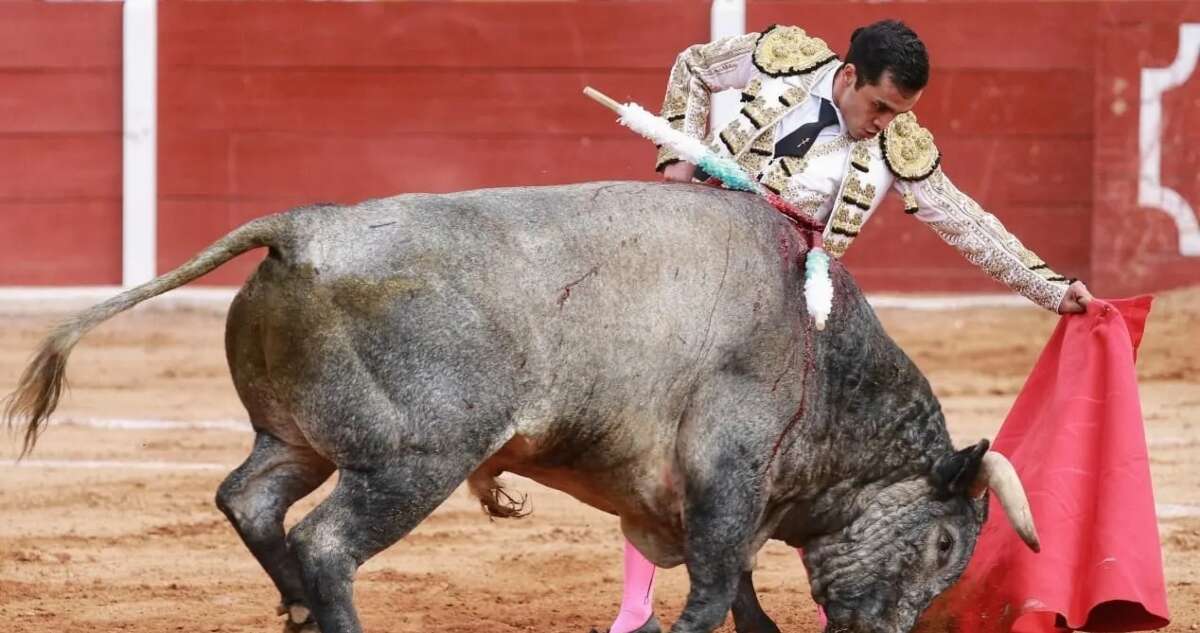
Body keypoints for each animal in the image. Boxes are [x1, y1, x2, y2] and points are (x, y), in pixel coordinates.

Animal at [4, 181, 1036, 633]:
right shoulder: (729, 465)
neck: (824, 355)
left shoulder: (703, 492)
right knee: (328, 541)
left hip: (299, 437)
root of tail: (305, 228)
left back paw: (294, 609)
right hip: (414, 459)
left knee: (251, 496)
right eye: (946, 543)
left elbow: (736, 580)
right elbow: (715, 578)